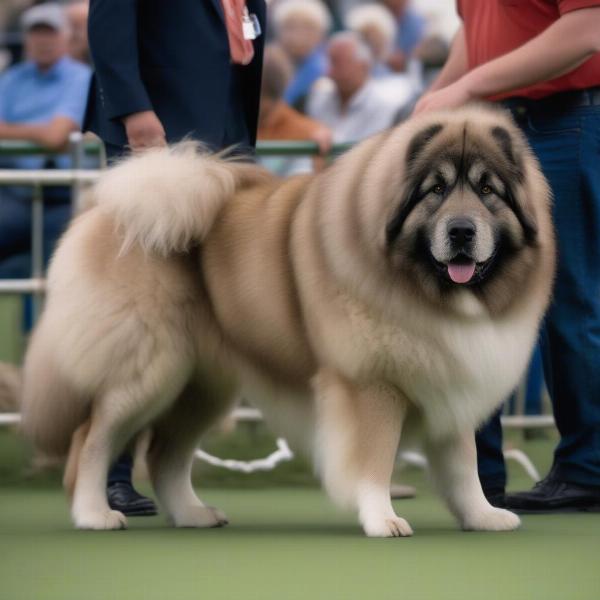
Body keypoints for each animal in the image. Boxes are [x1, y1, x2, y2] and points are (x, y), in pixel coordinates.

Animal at [18, 103, 556, 536]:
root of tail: (107, 205)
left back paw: (192, 514)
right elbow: (375, 460)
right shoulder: (371, 387)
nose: (462, 232)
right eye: (436, 190)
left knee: (164, 454)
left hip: (201, 387)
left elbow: (464, 465)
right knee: (91, 439)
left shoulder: (451, 379)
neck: (431, 292)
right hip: (146, 373)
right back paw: (94, 514)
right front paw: (383, 519)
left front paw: (483, 516)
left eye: (488, 190)